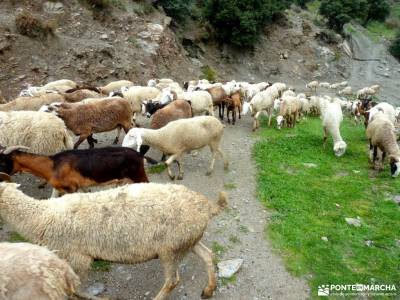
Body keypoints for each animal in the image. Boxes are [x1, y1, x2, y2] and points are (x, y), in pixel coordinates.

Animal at [0, 180, 228, 300]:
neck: (41, 215)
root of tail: (207, 206)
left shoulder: (78, 258)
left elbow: (78, 286)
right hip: (188, 240)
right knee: (208, 255)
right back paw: (209, 289)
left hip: (170, 249)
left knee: (172, 281)